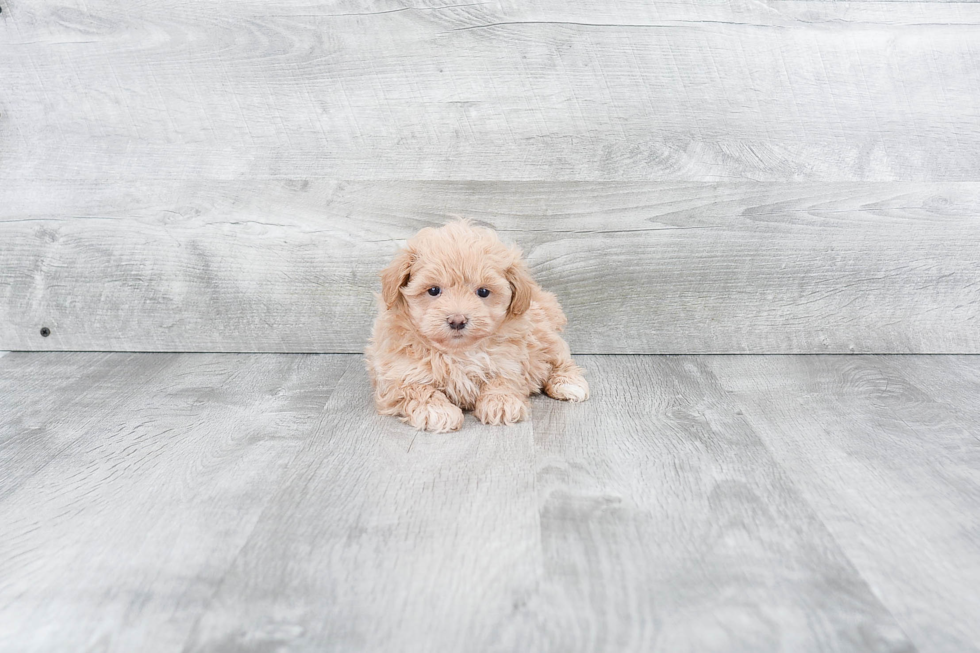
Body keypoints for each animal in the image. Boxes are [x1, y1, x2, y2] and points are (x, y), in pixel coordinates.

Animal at [364, 220, 584, 432]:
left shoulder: (510, 362)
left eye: (483, 292)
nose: (457, 320)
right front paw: (438, 411)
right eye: (433, 290)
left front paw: (501, 403)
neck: (458, 352)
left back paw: (568, 383)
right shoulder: (396, 375)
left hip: (542, 332)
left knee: (559, 356)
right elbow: (417, 389)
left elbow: (502, 380)